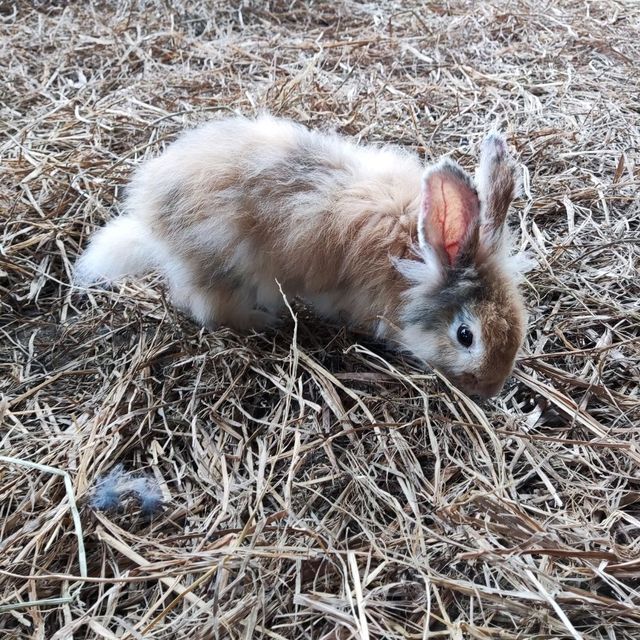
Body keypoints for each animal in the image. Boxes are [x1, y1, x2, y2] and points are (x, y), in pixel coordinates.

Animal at [76, 112, 528, 398]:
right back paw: (265, 321)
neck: (412, 262)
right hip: (223, 269)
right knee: (206, 308)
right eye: (466, 336)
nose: (491, 388)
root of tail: (150, 220)